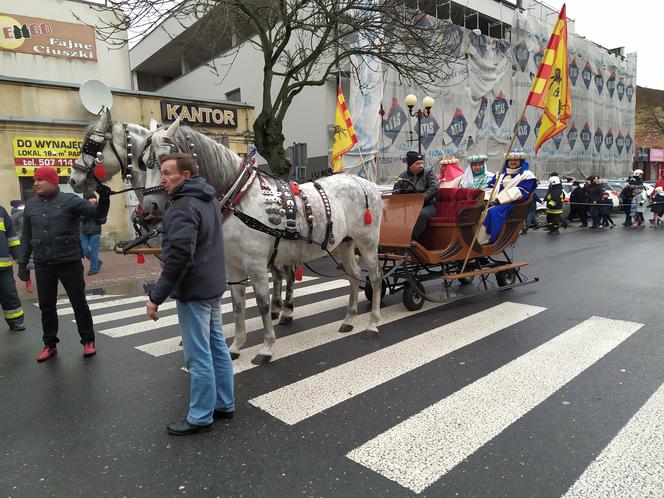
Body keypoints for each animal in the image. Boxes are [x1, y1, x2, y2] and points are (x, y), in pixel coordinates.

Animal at [143, 118, 386, 364]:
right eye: (144, 162)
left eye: (165, 159)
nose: (149, 207)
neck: (238, 198)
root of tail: (366, 183)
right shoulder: (233, 267)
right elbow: (238, 305)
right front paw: (235, 346)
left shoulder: (256, 264)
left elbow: (263, 303)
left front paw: (266, 347)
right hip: (345, 243)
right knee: (353, 276)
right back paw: (349, 319)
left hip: (367, 242)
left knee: (375, 277)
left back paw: (373, 323)